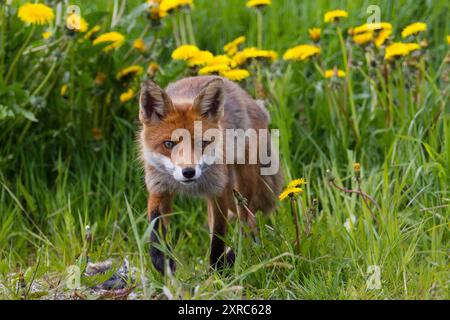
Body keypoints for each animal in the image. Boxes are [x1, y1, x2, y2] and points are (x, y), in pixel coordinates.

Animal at [139, 76, 284, 274]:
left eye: (202, 143)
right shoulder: (160, 187)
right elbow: (156, 228)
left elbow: (218, 236)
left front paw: (217, 270)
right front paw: (163, 262)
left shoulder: (217, 192)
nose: (188, 172)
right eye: (168, 144)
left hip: (241, 187)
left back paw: (237, 254)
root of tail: (254, 102)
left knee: (247, 220)